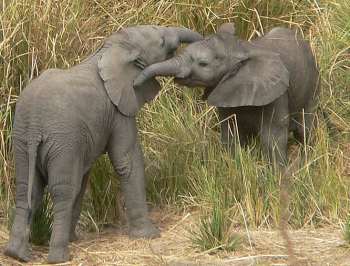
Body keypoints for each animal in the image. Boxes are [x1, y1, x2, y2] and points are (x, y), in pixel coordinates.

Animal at [4, 25, 202, 264]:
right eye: (162, 42)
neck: (109, 50)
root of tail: (34, 124)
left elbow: (83, 178)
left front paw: (74, 239)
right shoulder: (119, 109)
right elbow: (127, 160)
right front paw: (149, 235)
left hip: (22, 139)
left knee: (27, 189)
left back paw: (17, 255)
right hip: (62, 139)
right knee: (62, 192)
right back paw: (59, 257)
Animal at [135, 23, 320, 167]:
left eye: (203, 64)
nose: (135, 83)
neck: (243, 48)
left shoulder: (277, 95)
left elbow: (272, 138)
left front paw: (277, 177)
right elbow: (231, 135)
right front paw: (233, 166)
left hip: (312, 84)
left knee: (306, 128)